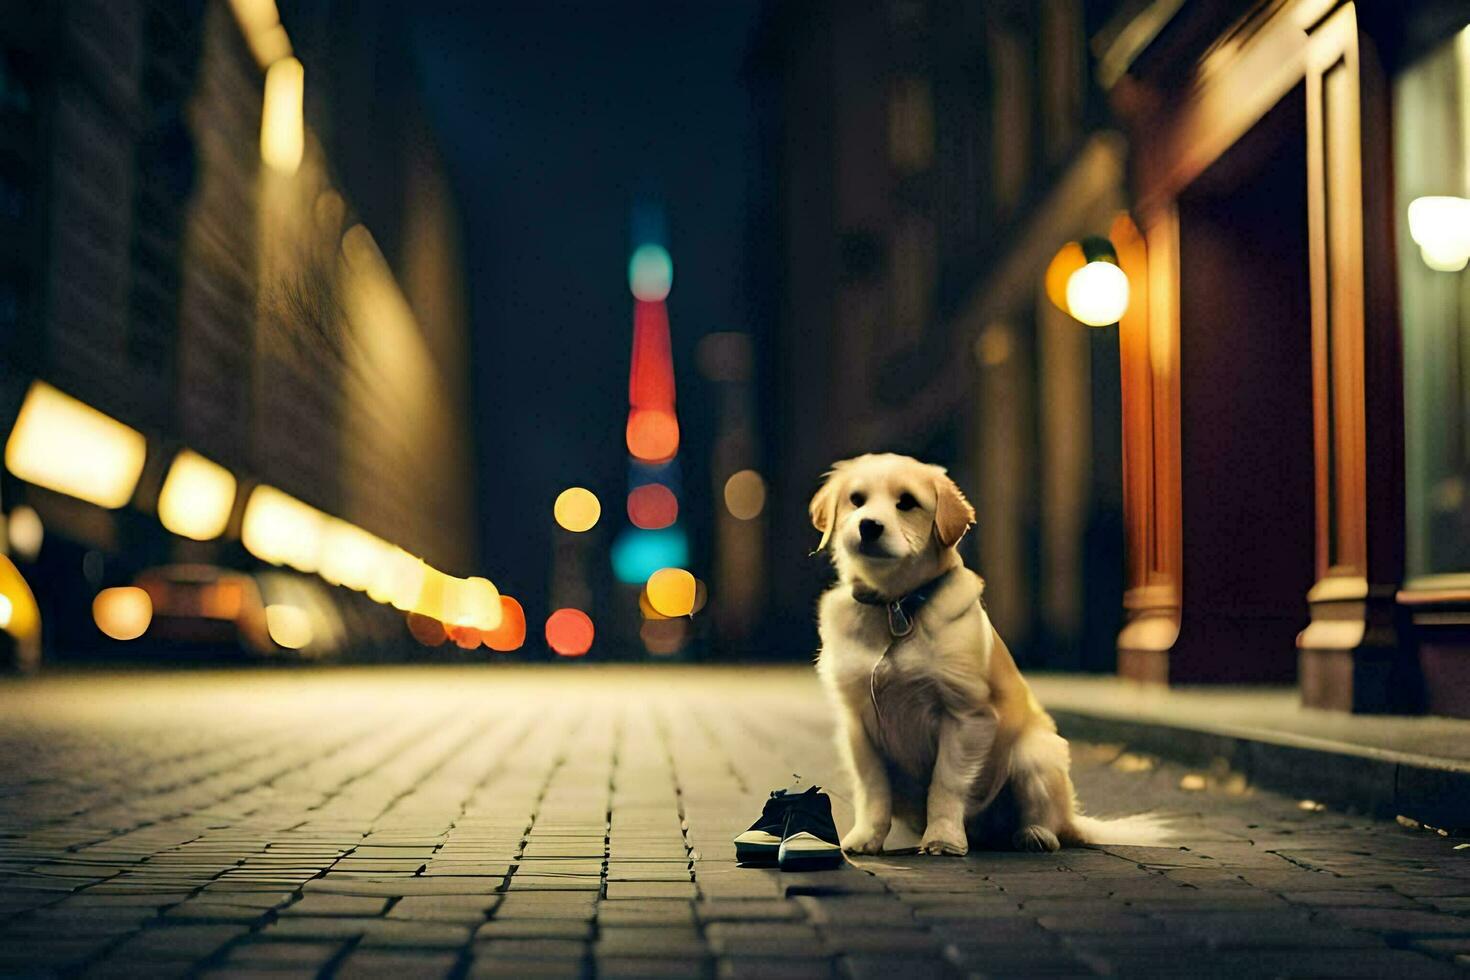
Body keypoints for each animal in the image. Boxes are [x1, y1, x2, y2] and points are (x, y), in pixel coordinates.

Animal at [817, 455, 1105, 852]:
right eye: (856, 500)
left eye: (907, 503)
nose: (869, 526)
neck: (896, 605)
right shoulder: (858, 722)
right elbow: (873, 788)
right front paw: (866, 838)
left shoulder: (966, 716)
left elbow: (946, 784)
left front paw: (943, 838)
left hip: (1036, 753)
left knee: (1050, 823)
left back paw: (1034, 834)